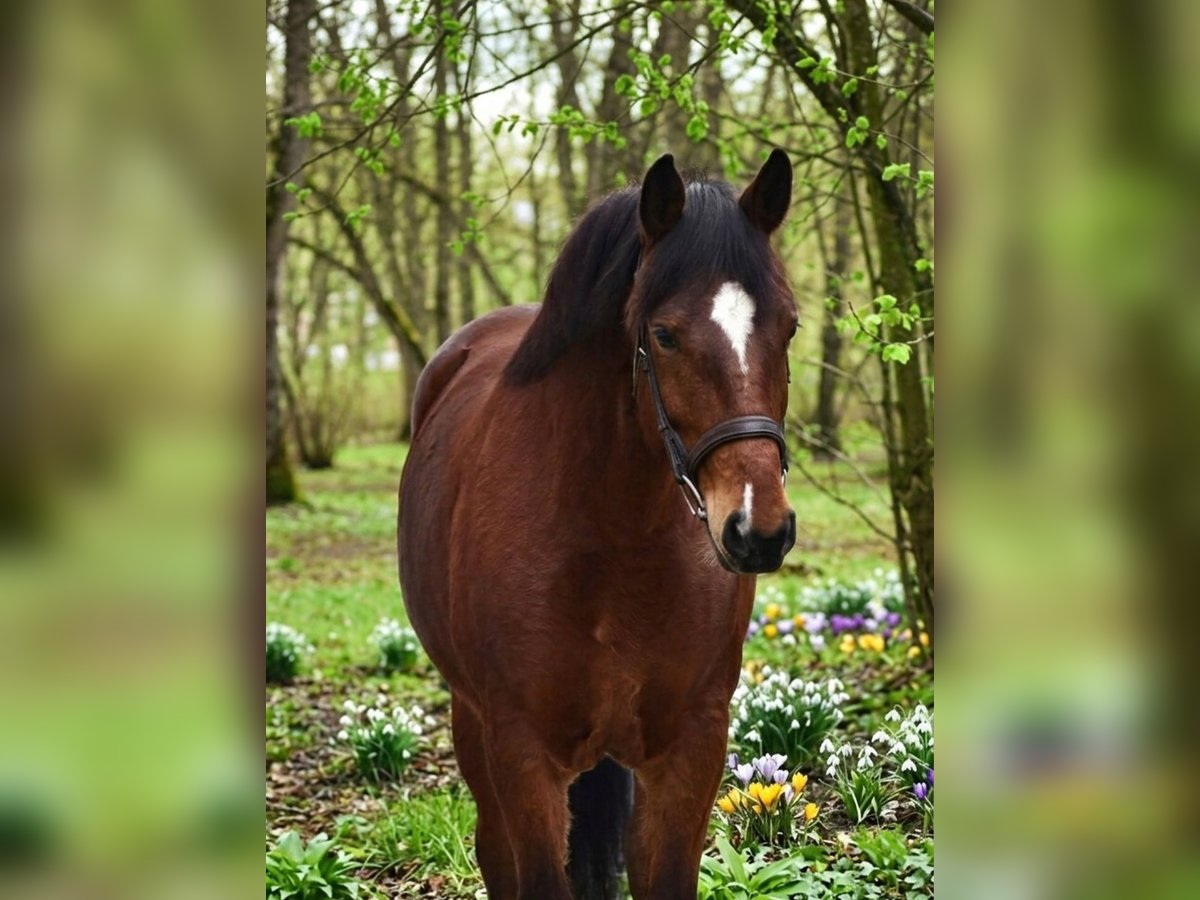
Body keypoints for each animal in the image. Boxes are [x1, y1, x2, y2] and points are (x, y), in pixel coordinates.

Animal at [398, 150, 798, 900]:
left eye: (788, 326)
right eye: (664, 334)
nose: (758, 529)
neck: (614, 540)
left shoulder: (691, 748)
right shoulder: (521, 753)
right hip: (472, 721)